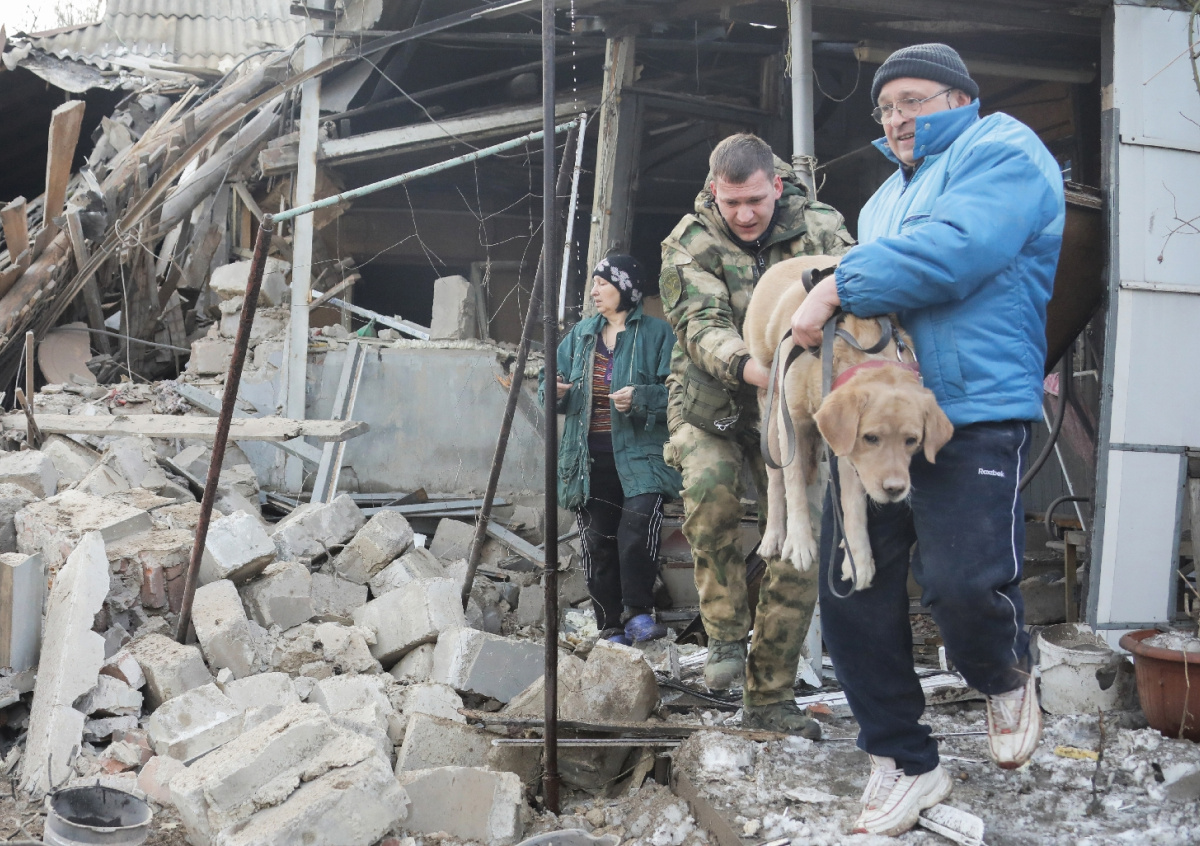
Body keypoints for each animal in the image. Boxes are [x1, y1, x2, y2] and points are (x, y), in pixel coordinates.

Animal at [743, 255, 954, 591]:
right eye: (872, 437)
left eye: (912, 441)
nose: (895, 489)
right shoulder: (793, 423)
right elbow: (794, 486)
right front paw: (800, 541)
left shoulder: (849, 450)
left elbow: (853, 504)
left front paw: (859, 558)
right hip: (773, 412)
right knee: (776, 479)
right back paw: (775, 535)